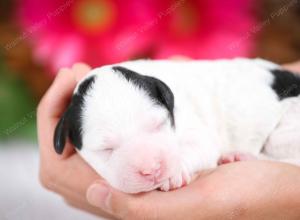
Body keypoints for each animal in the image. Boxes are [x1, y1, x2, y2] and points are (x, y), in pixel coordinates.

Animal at [53, 58, 300, 192]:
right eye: (106, 149)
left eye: (158, 125)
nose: (152, 170)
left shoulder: (196, 128)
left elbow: (199, 145)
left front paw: (175, 172)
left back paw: (241, 156)